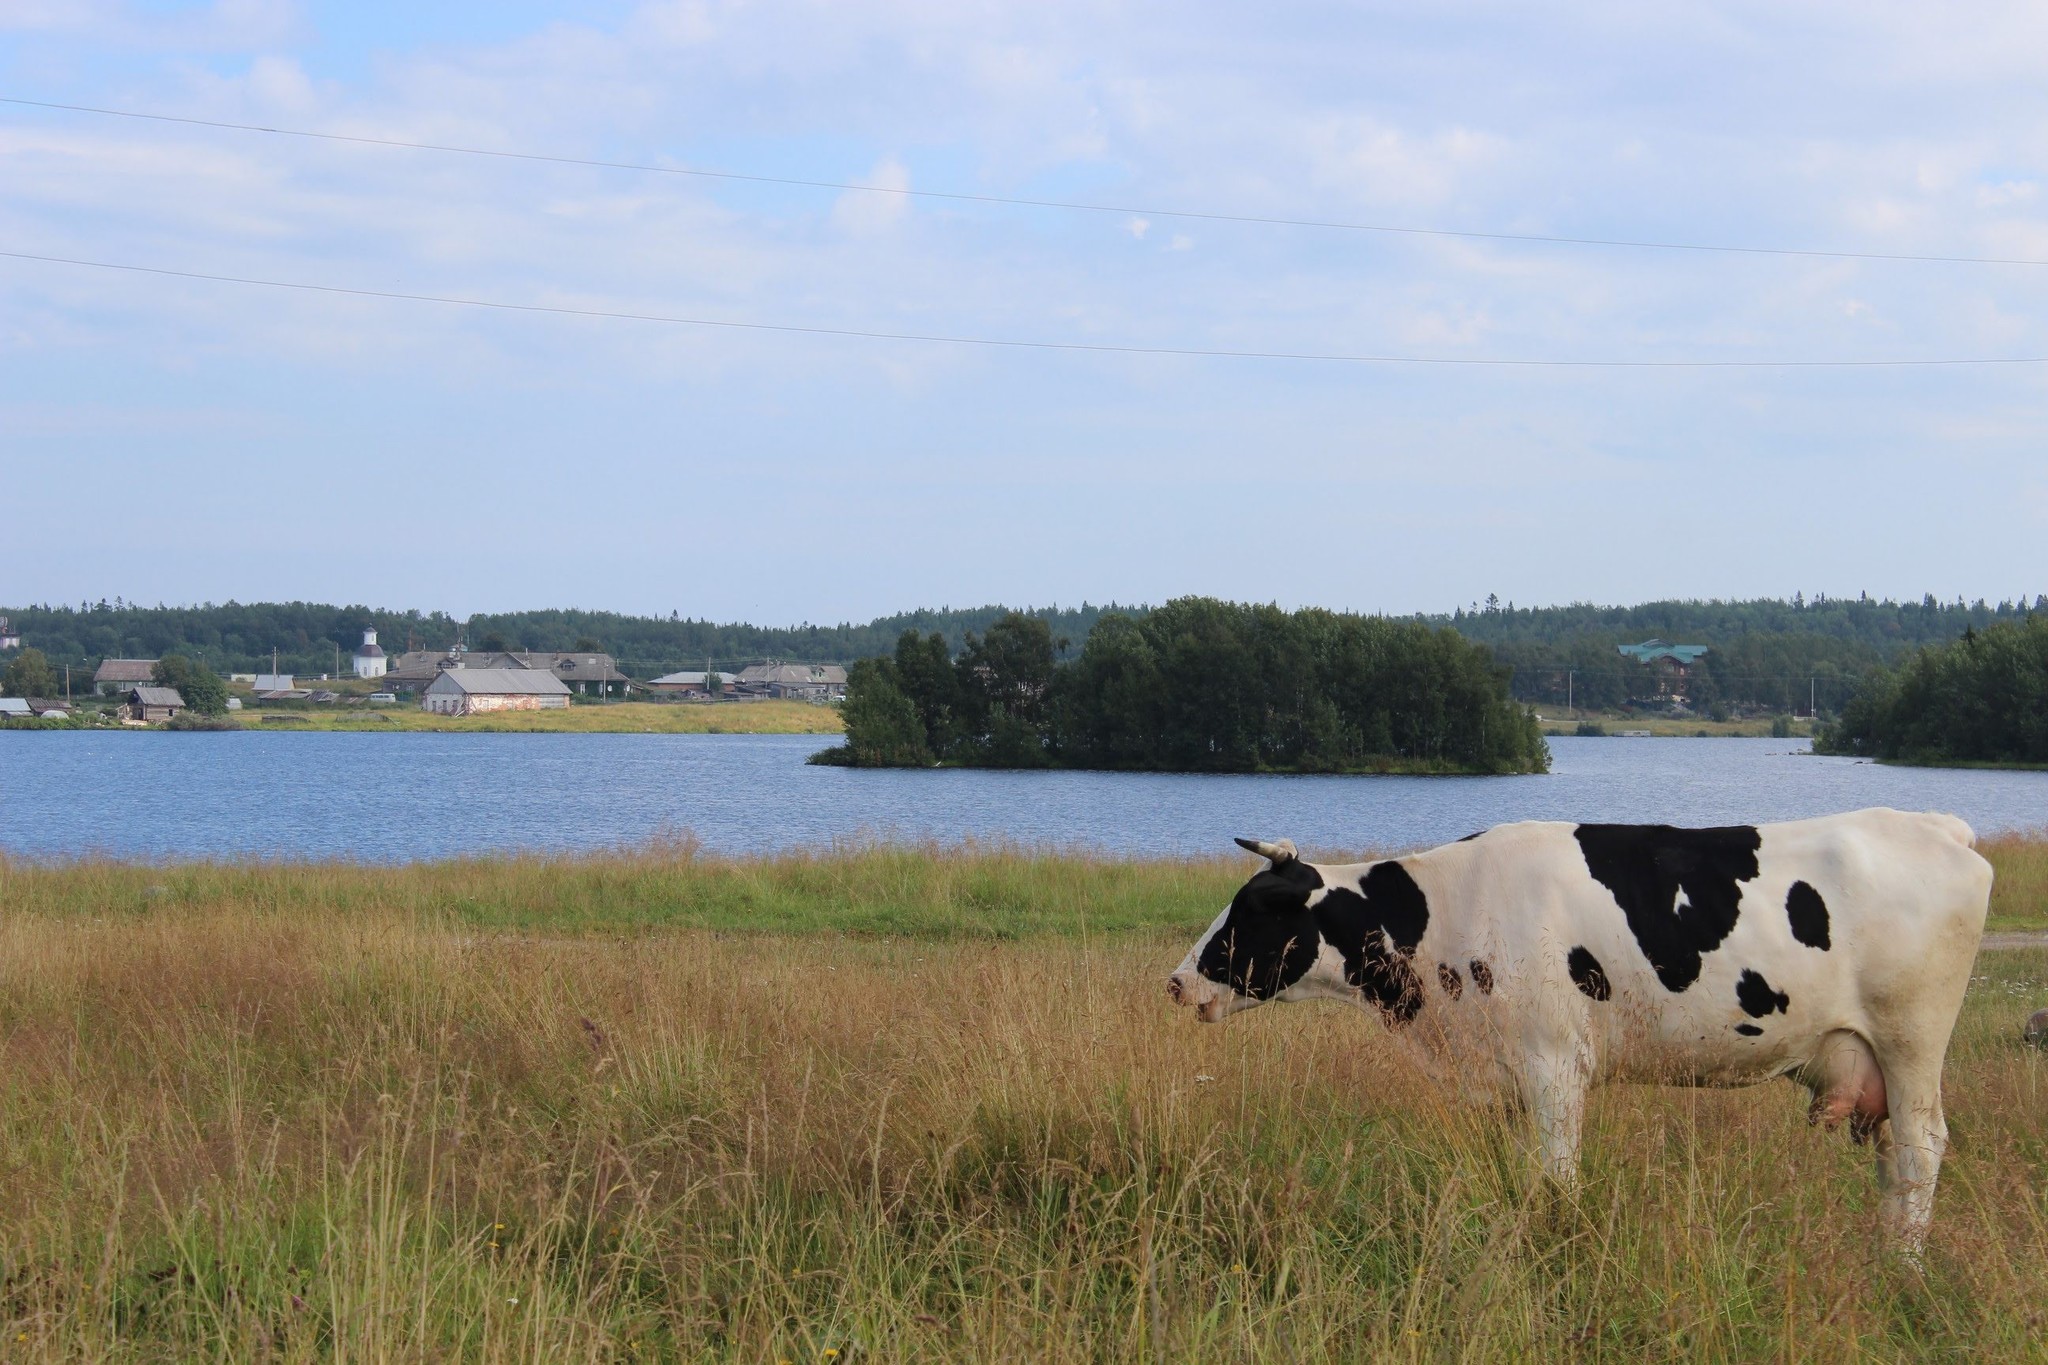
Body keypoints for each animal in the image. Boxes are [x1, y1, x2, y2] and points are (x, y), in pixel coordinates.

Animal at [1179, 810, 1990, 1252]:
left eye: (1254, 908)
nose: (1177, 980)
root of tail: (1935, 825)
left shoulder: (1555, 1064)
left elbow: (1557, 1178)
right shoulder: (1508, 1073)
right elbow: (1521, 1178)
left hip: (1912, 1041)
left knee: (1921, 1148)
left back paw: (1905, 1264)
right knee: (1894, 1158)